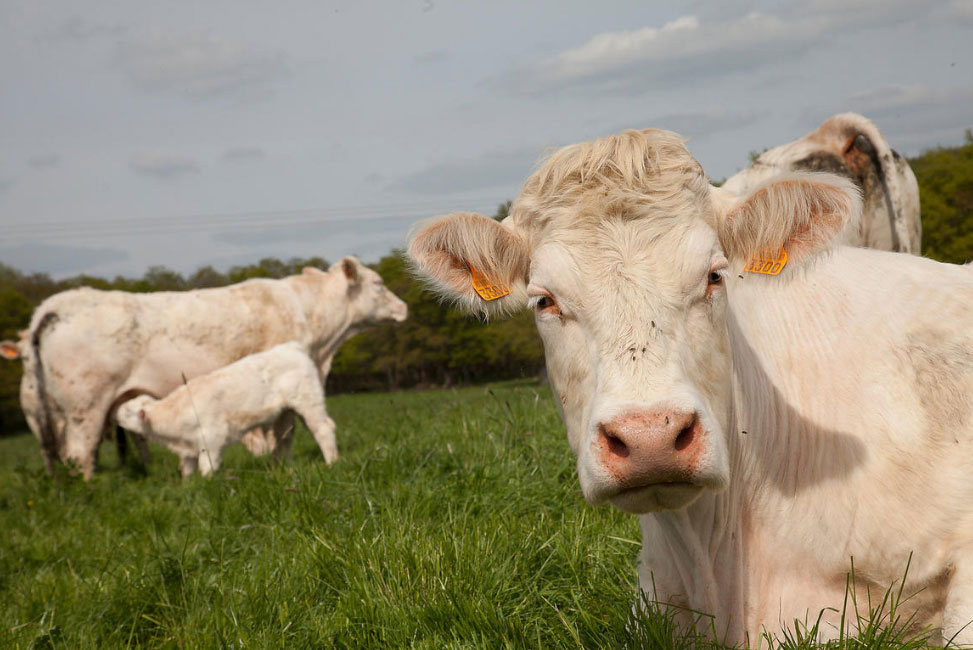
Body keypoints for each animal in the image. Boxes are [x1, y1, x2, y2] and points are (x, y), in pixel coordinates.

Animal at [117, 340, 338, 476]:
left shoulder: (211, 438)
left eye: (127, 411)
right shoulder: (188, 448)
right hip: (285, 413)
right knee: (284, 439)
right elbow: (187, 470)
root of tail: (290, 347)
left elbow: (207, 467)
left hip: (308, 401)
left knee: (323, 429)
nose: (116, 412)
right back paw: (281, 468)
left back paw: (332, 463)